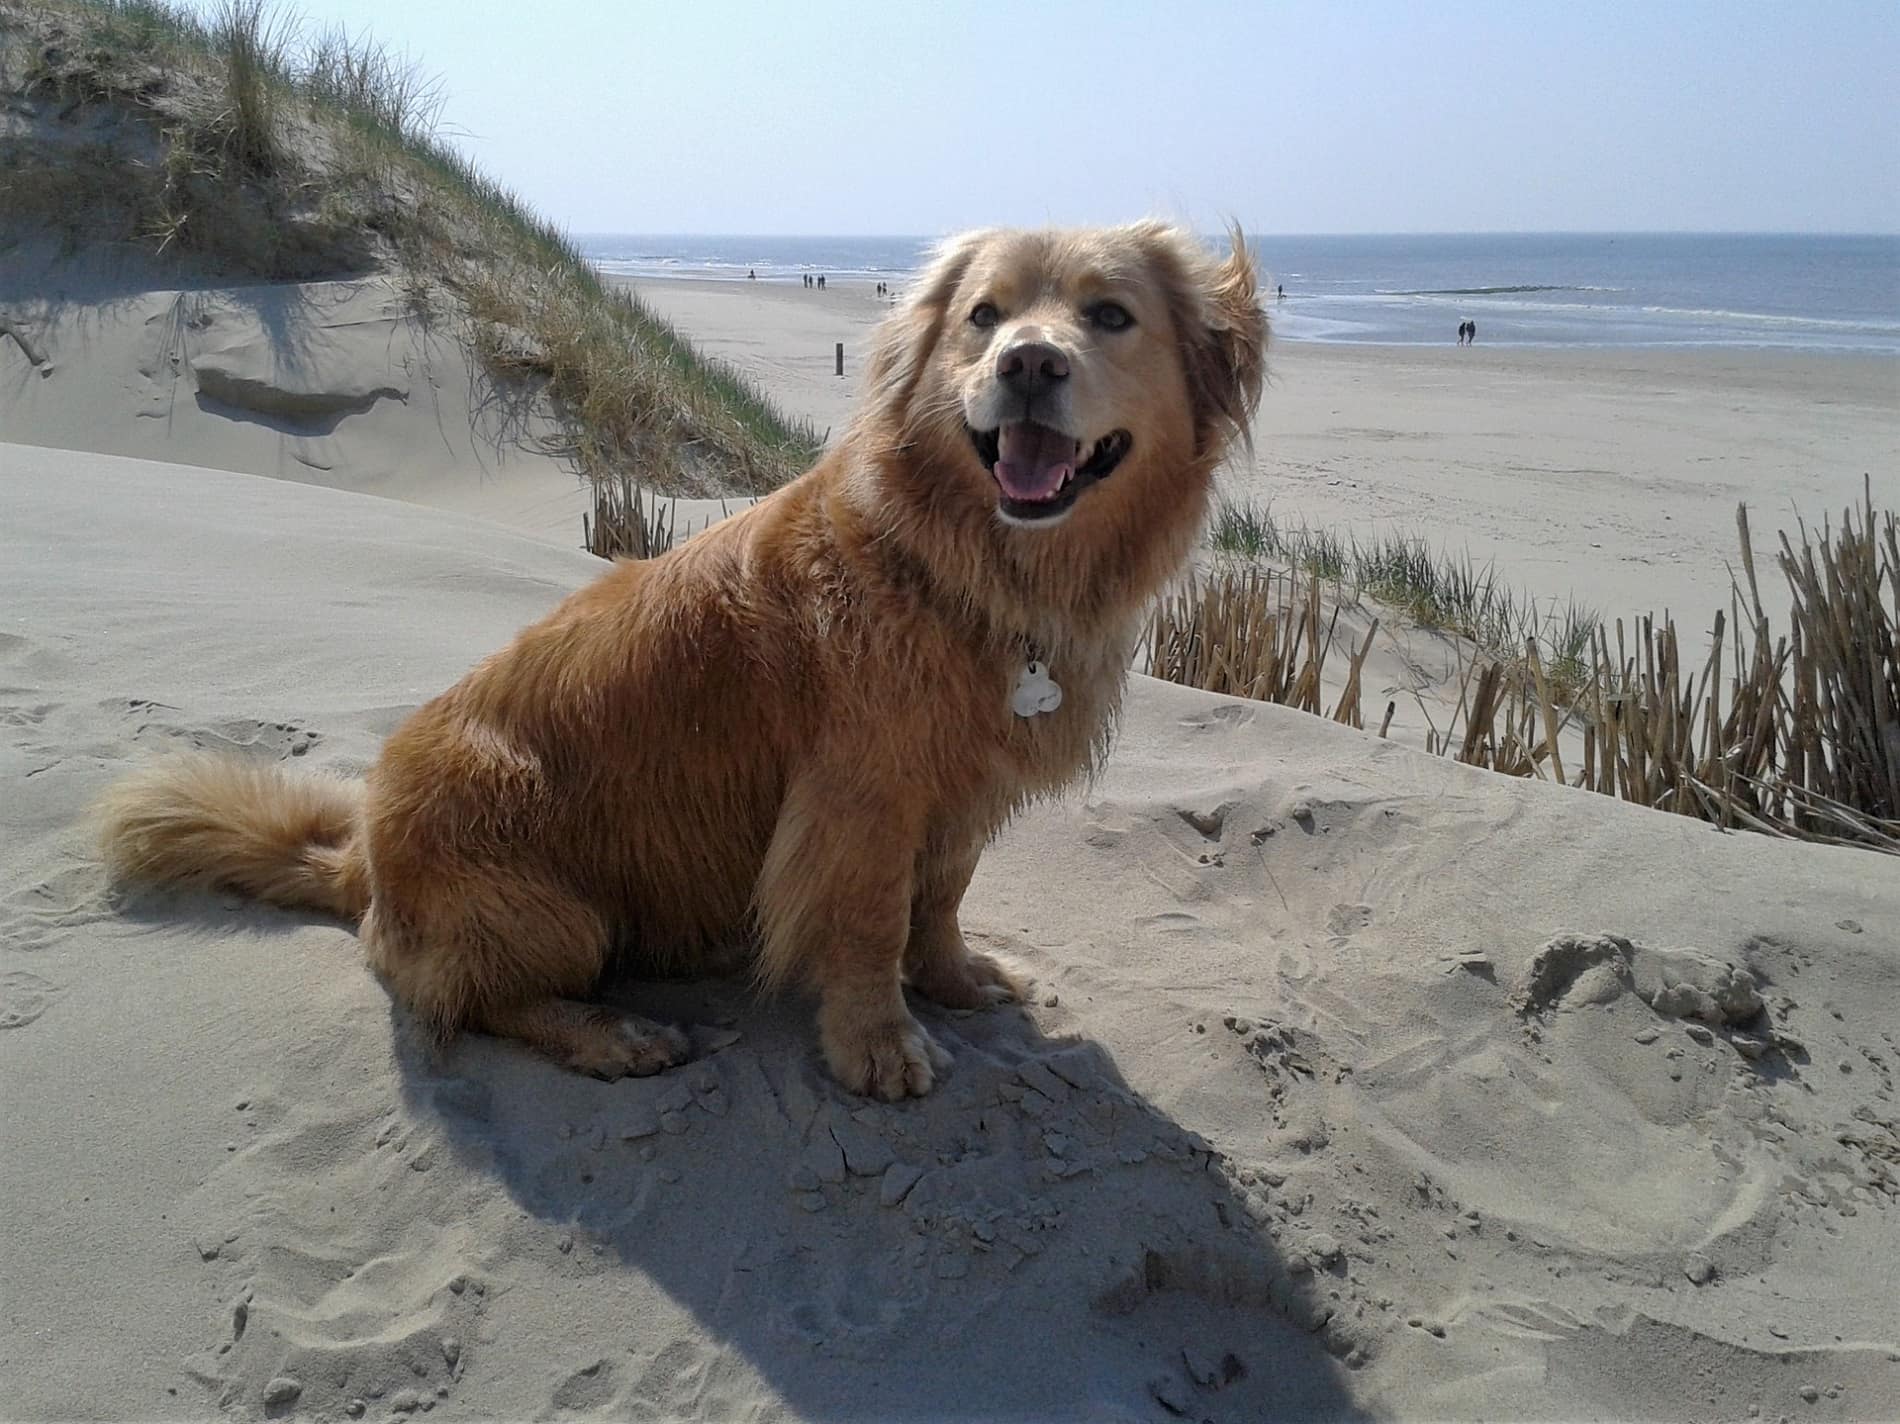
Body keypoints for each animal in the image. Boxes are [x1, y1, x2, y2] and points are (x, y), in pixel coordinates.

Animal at [96, 222, 1269, 1102]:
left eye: (1110, 315)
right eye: (982, 316)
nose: (1027, 363)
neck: (961, 567)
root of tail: (362, 866)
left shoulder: (958, 792)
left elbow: (938, 899)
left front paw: (954, 977)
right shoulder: (859, 799)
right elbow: (868, 923)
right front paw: (878, 1042)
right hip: (553, 907)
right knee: (475, 997)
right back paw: (613, 1034)